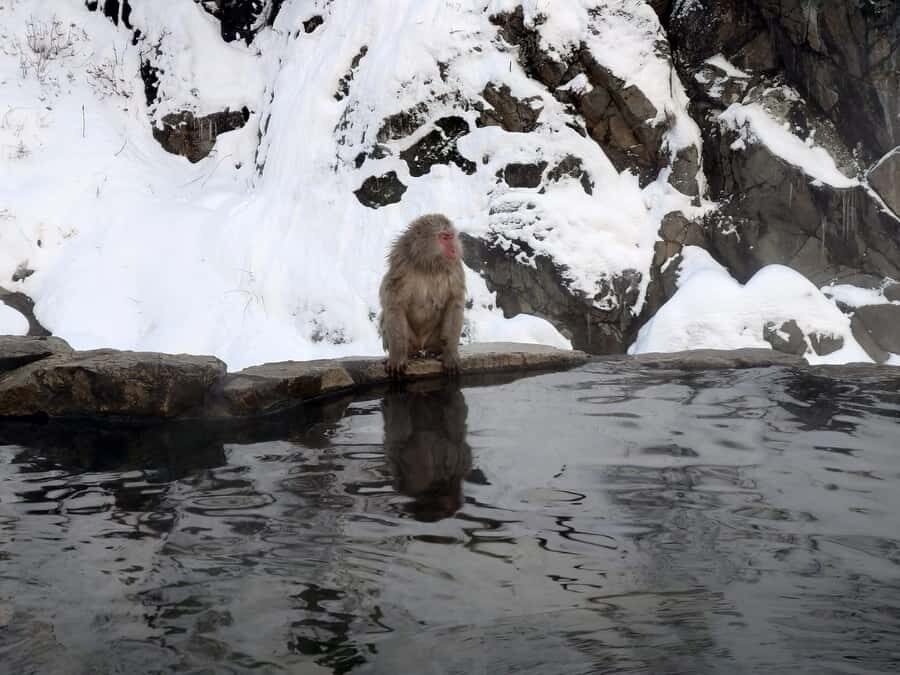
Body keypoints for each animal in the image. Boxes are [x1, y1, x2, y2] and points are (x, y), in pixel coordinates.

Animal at [379, 213, 466, 377]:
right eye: (444, 237)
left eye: (451, 236)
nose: (453, 249)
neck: (428, 264)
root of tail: (422, 345)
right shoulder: (400, 262)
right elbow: (395, 304)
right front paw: (397, 356)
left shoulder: (455, 266)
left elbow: (454, 302)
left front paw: (450, 355)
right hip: (412, 340)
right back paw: (410, 353)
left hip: (433, 338)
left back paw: (436, 351)